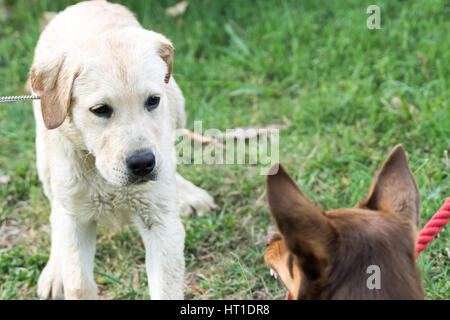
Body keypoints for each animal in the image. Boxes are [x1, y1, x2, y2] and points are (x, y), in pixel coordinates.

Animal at [30, 0, 216, 300]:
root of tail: (87, 4)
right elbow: (78, 283)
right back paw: (55, 272)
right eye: (100, 109)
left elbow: (166, 287)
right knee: (56, 209)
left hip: (177, 102)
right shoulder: (77, 221)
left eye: (153, 101)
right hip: (44, 155)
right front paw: (64, 275)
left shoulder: (160, 223)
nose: (142, 164)